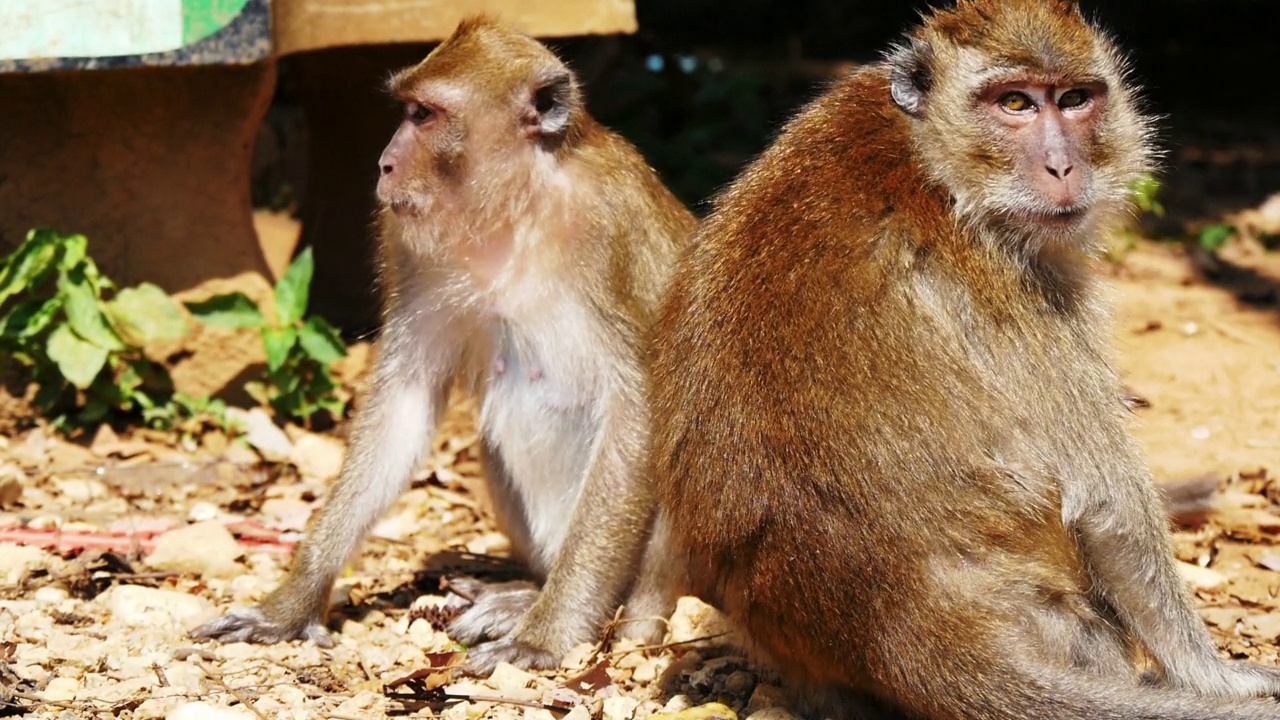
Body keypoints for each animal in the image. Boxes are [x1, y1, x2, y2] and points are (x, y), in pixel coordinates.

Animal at [193, 16, 696, 671]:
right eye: (407, 109)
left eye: (424, 115)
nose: (384, 163)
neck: (519, 205)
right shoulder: (408, 243)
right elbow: (405, 398)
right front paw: (291, 604)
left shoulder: (612, 226)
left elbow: (637, 407)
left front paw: (548, 634)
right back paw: (524, 593)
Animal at [655, 1, 1280, 717]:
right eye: (1015, 103)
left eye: (1074, 99)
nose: (1063, 167)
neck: (931, 158)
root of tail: (894, 629)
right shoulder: (1021, 283)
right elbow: (1107, 503)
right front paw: (1215, 676)